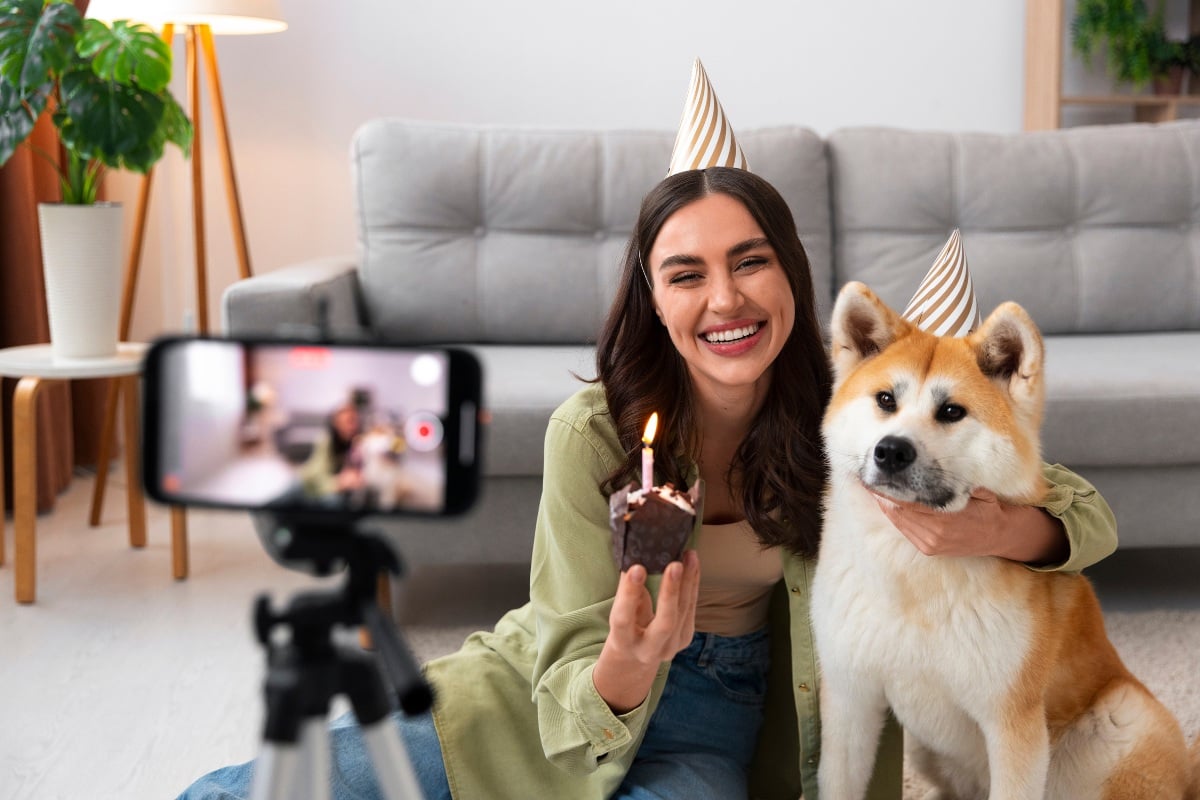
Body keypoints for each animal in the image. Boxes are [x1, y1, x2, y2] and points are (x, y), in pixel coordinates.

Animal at [811, 281, 1195, 800]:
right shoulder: (850, 703)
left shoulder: (1012, 723)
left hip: (1121, 724)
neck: (911, 569)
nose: (891, 450)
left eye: (951, 411)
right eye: (885, 399)